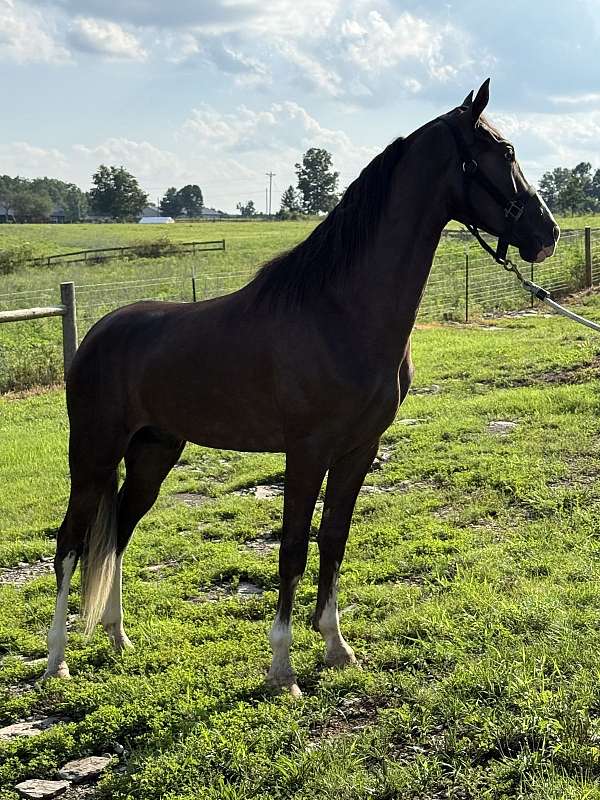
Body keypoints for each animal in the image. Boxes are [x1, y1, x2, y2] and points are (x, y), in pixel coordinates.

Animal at [45, 80, 559, 696]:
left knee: (118, 531)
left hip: (153, 452)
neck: (340, 312)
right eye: (503, 153)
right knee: (70, 542)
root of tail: (96, 334)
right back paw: (56, 661)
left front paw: (337, 647)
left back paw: (119, 637)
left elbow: (333, 538)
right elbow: (291, 547)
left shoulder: (359, 449)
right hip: (93, 453)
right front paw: (282, 668)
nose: (547, 233)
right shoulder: (307, 452)